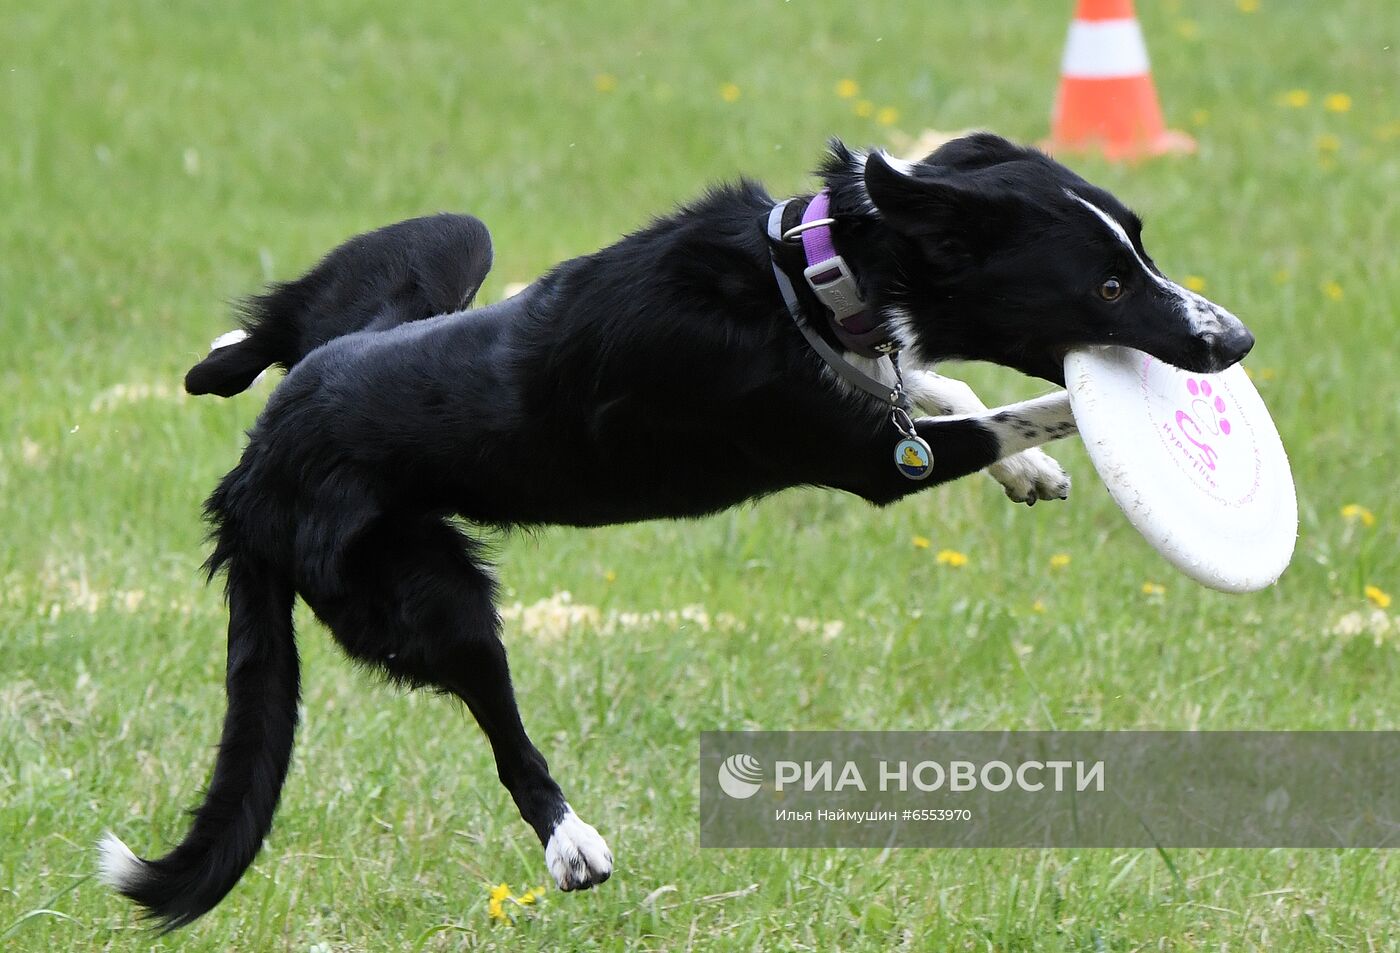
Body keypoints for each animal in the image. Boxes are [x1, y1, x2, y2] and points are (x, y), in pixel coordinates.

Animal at [103, 130, 1254, 923]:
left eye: (1141, 246)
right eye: (1107, 282)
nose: (1236, 339)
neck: (807, 275)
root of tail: (249, 479)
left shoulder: (869, 376)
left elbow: (929, 377)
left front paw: (1028, 463)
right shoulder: (873, 465)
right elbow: (995, 408)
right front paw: (1062, 434)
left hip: (437, 250)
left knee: (264, 335)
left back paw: (222, 359)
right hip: (425, 592)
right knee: (502, 724)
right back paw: (570, 843)